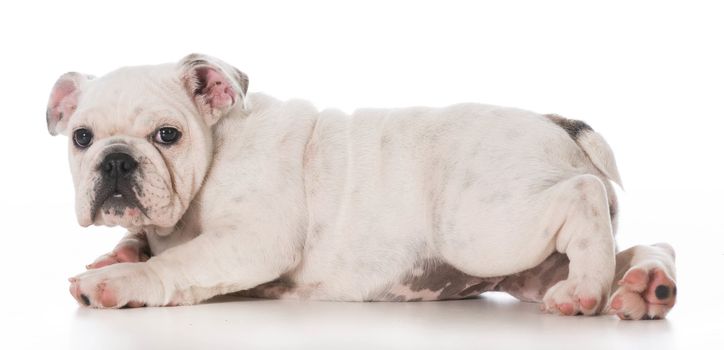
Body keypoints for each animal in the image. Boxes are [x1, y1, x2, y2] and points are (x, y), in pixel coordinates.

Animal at [48, 54, 676, 320]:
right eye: (81, 138)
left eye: (168, 135)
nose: (116, 162)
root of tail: (554, 121)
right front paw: (119, 254)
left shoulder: (253, 240)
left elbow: (178, 265)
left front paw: (119, 280)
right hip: (527, 262)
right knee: (641, 243)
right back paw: (645, 286)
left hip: (480, 226)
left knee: (584, 196)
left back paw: (586, 293)